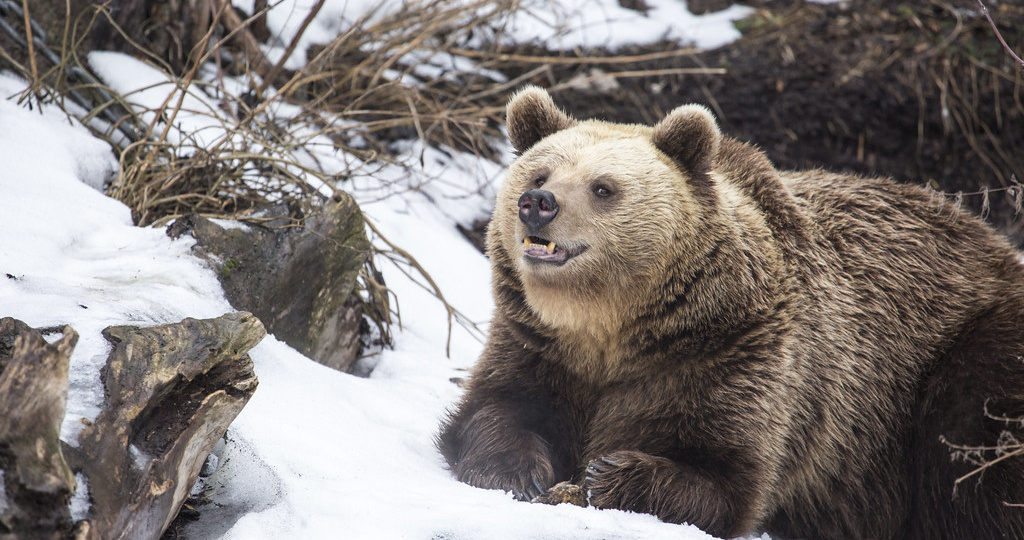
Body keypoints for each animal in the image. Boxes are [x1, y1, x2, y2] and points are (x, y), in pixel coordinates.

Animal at [436, 86, 1024, 540]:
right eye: (539, 172)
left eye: (603, 187)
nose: (537, 203)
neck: (613, 325)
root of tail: (996, 242)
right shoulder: (539, 345)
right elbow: (495, 409)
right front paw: (522, 471)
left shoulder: (734, 356)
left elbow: (727, 477)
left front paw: (611, 472)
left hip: (967, 355)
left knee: (978, 453)